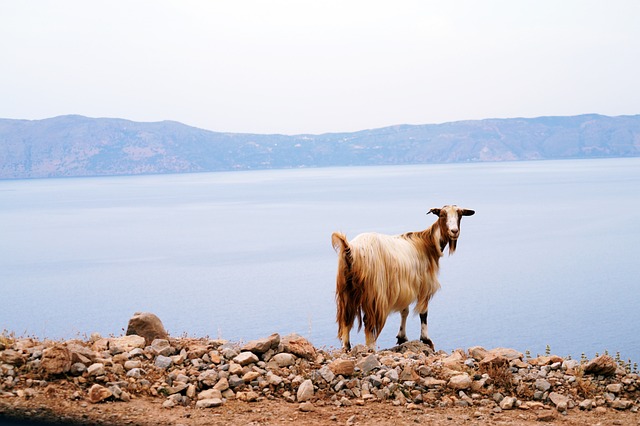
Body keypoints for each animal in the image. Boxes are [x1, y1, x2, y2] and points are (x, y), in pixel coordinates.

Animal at [330, 206, 476, 350]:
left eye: (460, 215)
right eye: (442, 215)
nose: (454, 231)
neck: (427, 244)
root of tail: (350, 249)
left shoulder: (405, 286)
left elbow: (404, 311)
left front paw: (402, 337)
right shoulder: (424, 285)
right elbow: (423, 313)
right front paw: (426, 339)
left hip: (346, 289)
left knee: (346, 318)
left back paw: (347, 347)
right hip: (374, 292)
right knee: (368, 320)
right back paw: (370, 347)